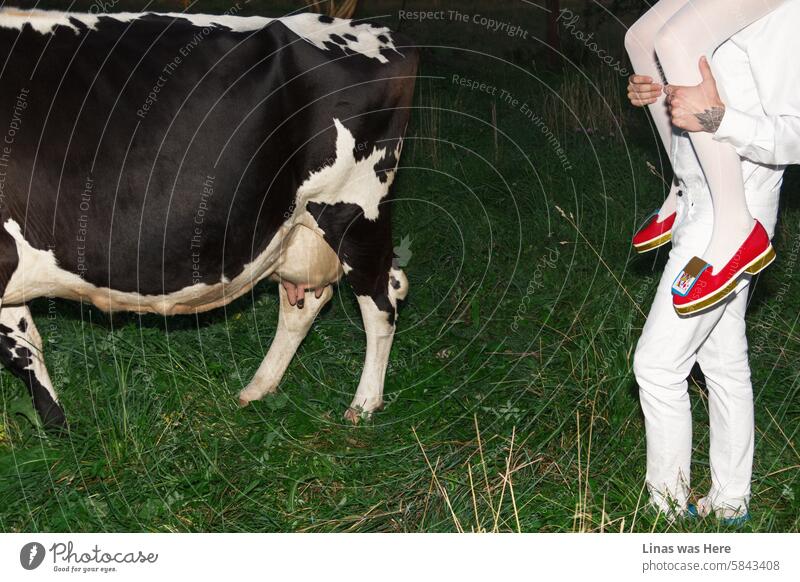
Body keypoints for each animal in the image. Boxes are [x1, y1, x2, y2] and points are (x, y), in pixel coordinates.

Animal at [0, 6, 418, 432]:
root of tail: (381, 33)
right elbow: (23, 345)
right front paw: (57, 424)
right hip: (298, 229)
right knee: (305, 305)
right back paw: (257, 388)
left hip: (353, 207)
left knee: (383, 297)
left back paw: (363, 404)